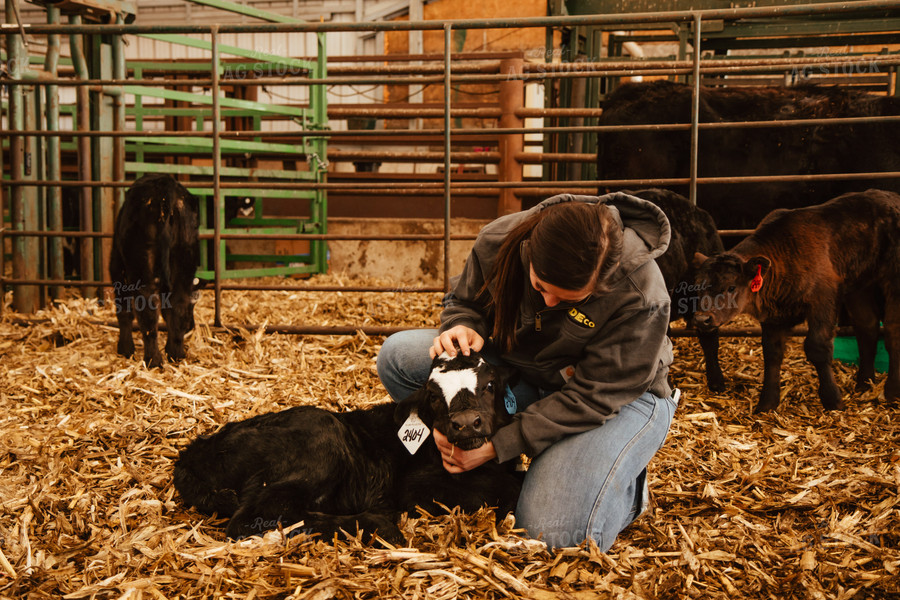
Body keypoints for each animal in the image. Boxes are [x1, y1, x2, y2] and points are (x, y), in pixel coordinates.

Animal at [109, 173, 200, 368]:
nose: (191, 325)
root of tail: (166, 184)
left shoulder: (117, 269)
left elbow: (124, 310)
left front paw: (125, 349)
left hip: (143, 271)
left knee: (148, 311)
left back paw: (153, 360)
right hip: (184, 264)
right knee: (177, 305)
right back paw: (176, 353)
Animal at [692, 189, 896, 412]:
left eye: (731, 287)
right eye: (698, 285)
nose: (702, 319)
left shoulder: (823, 300)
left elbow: (816, 347)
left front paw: (832, 400)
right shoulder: (773, 317)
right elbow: (772, 353)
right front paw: (767, 403)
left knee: (893, 331)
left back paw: (892, 393)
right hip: (859, 285)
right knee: (867, 326)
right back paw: (864, 384)